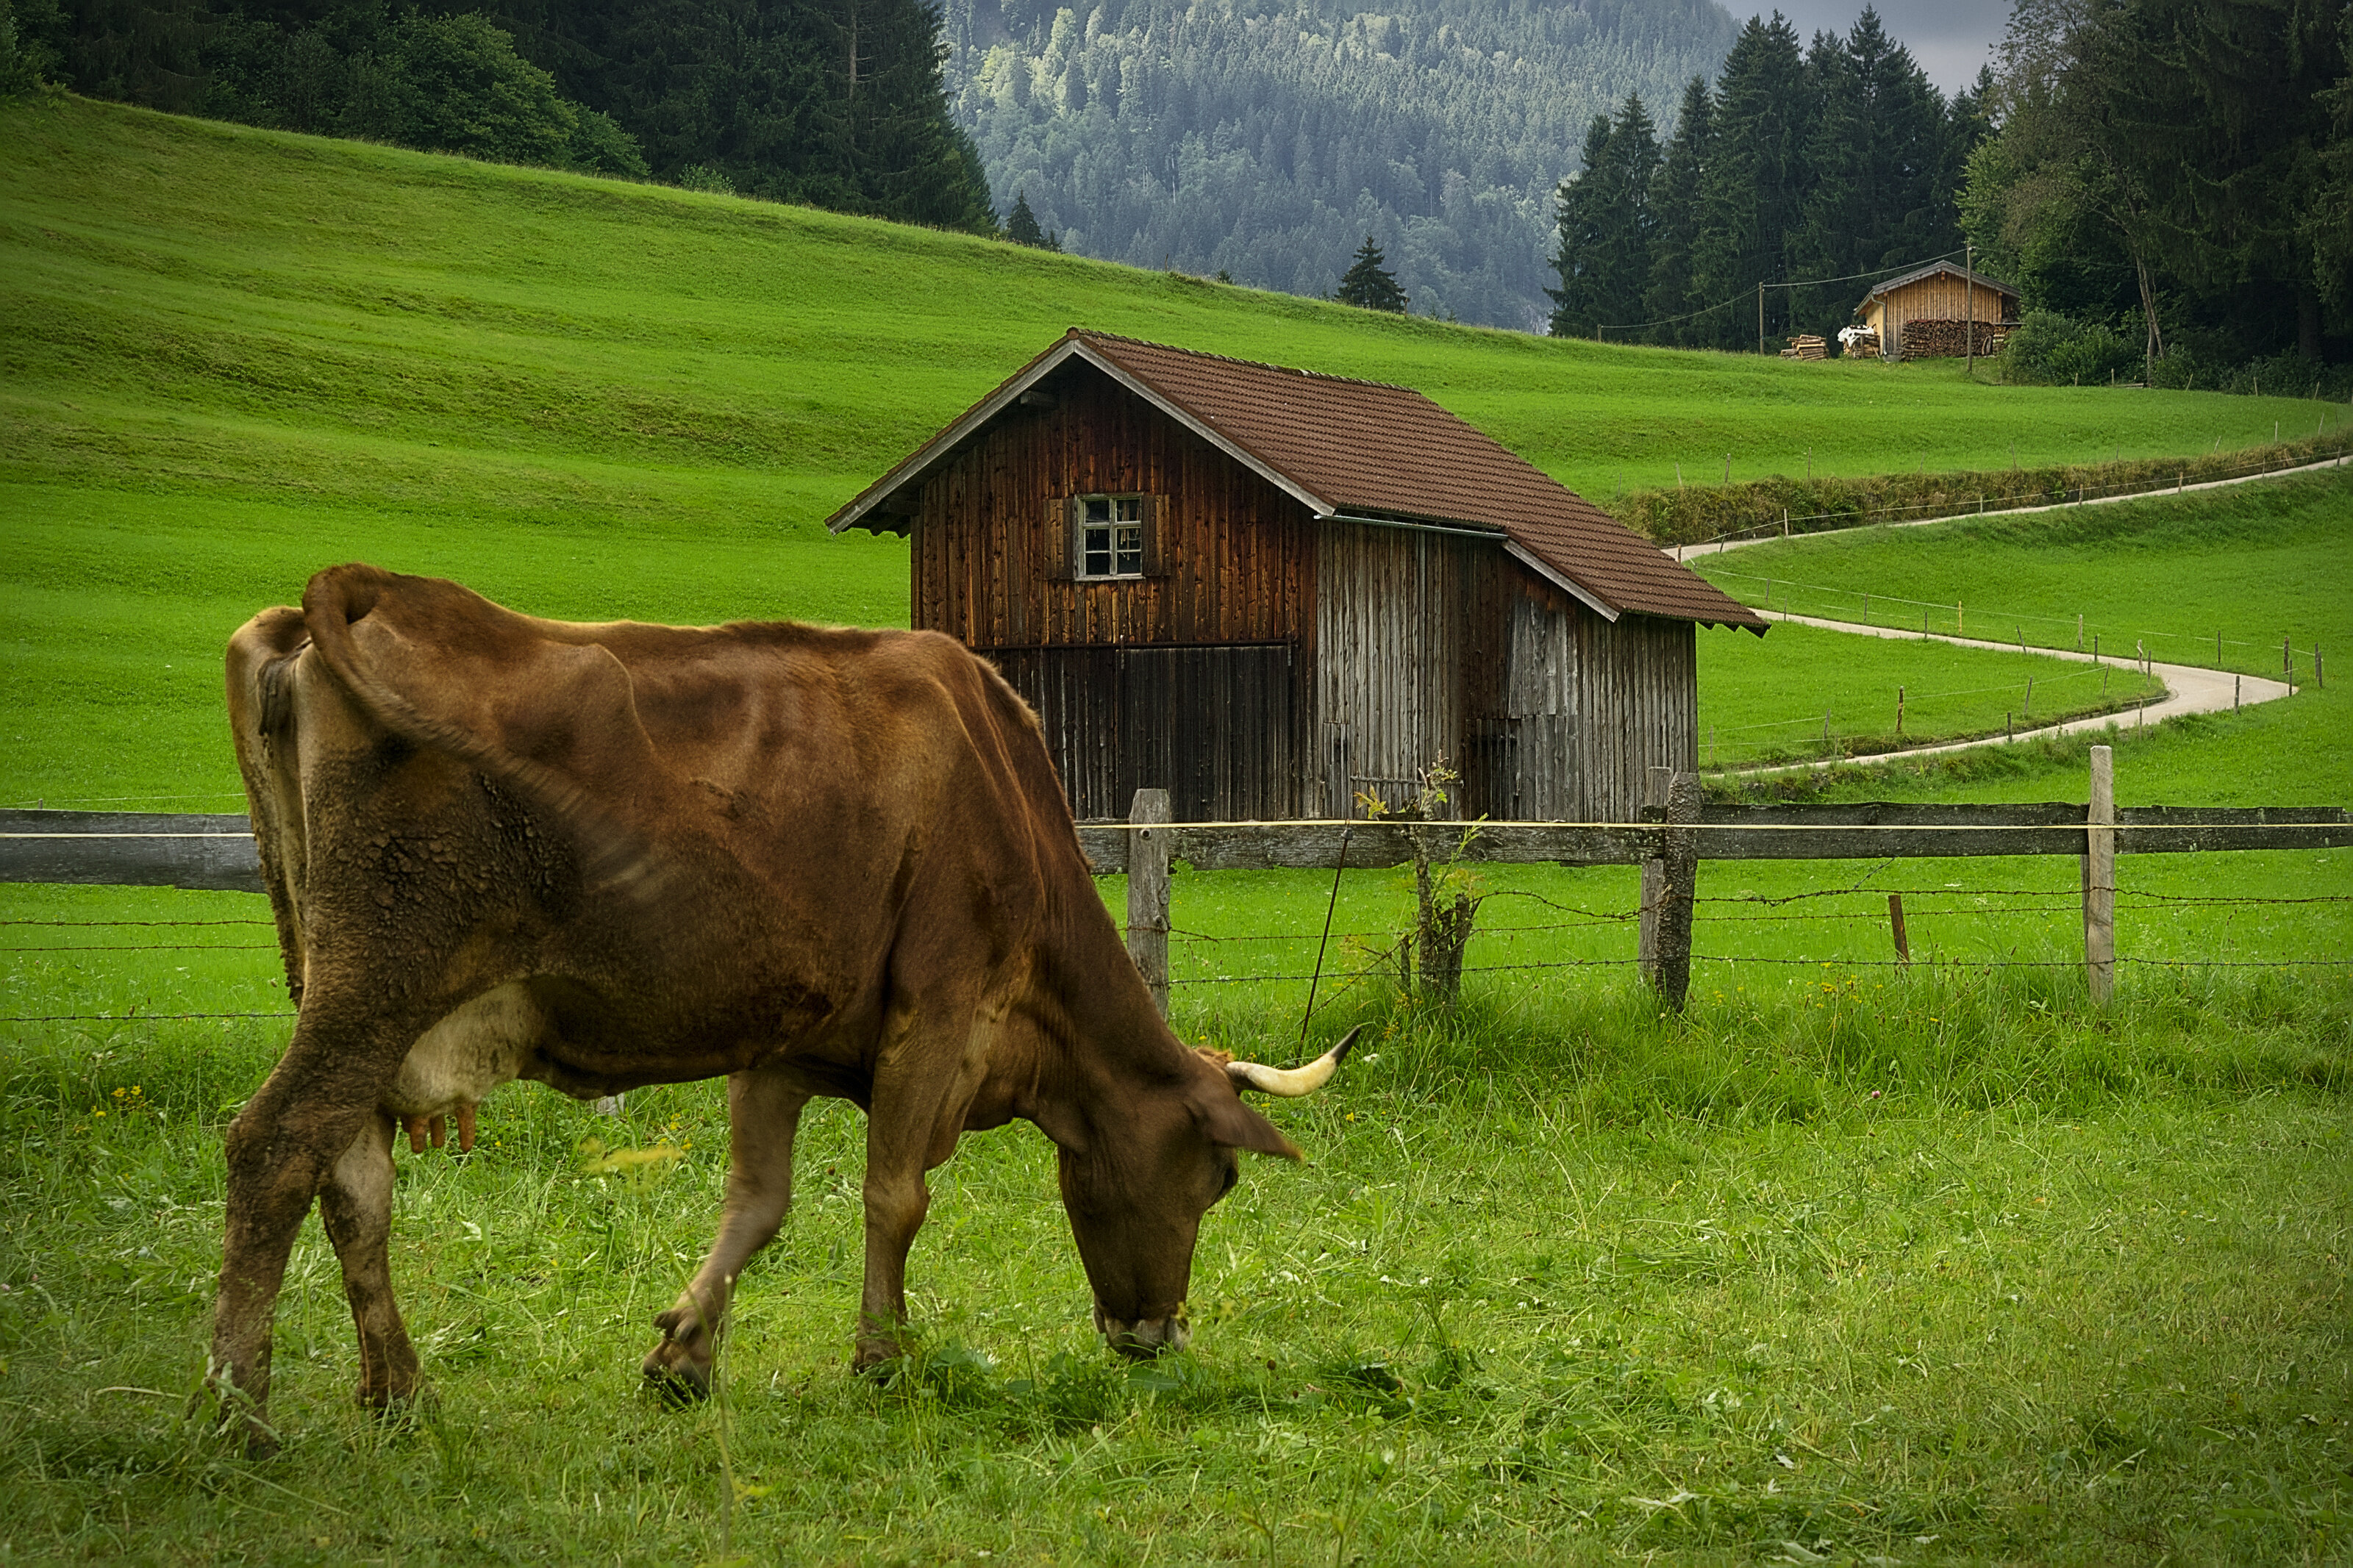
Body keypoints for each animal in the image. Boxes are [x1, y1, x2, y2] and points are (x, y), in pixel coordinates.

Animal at [209, 563, 1352, 1453]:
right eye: (1220, 1177)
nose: (1157, 1337)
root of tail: (362, 597)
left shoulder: (784, 1039)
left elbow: (757, 1204)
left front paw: (682, 1354)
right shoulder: (940, 1007)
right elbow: (895, 1196)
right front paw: (882, 1358)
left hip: (337, 988)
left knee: (353, 1182)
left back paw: (399, 1391)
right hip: (380, 989)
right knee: (275, 1149)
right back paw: (240, 1415)